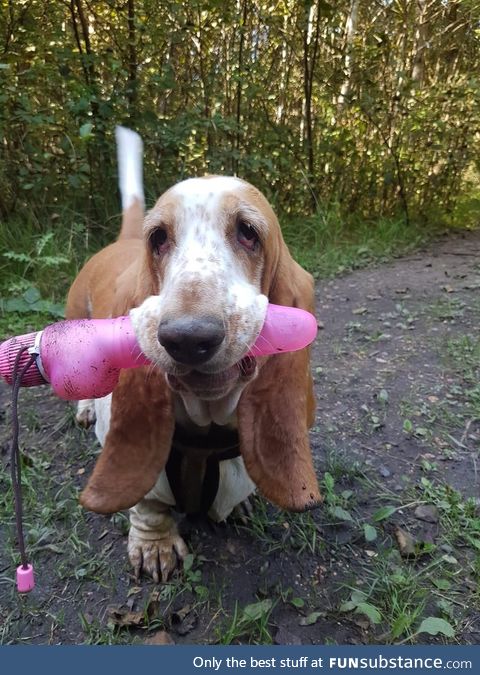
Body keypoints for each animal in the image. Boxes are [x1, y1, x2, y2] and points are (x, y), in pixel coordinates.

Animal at [65, 129, 320, 584]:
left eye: (248, 232)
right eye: (158, 238)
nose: (187, 338)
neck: (207, 419)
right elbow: (148, 501)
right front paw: (155, 546)